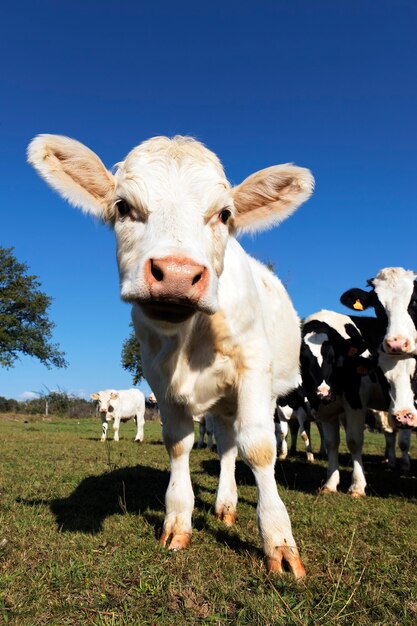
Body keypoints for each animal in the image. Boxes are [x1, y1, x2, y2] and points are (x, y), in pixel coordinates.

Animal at [26, 132, 312, 576]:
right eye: (123, 206)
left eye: (224, 214)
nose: (177, 275)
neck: (190, 339)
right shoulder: (159, 378)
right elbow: (179, 444)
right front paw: (177, 522)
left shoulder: (252, 367)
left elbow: (260, 447)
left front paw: (279, 542)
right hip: (220, 404)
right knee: (226, 445)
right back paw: (225, 504)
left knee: (241, 443)